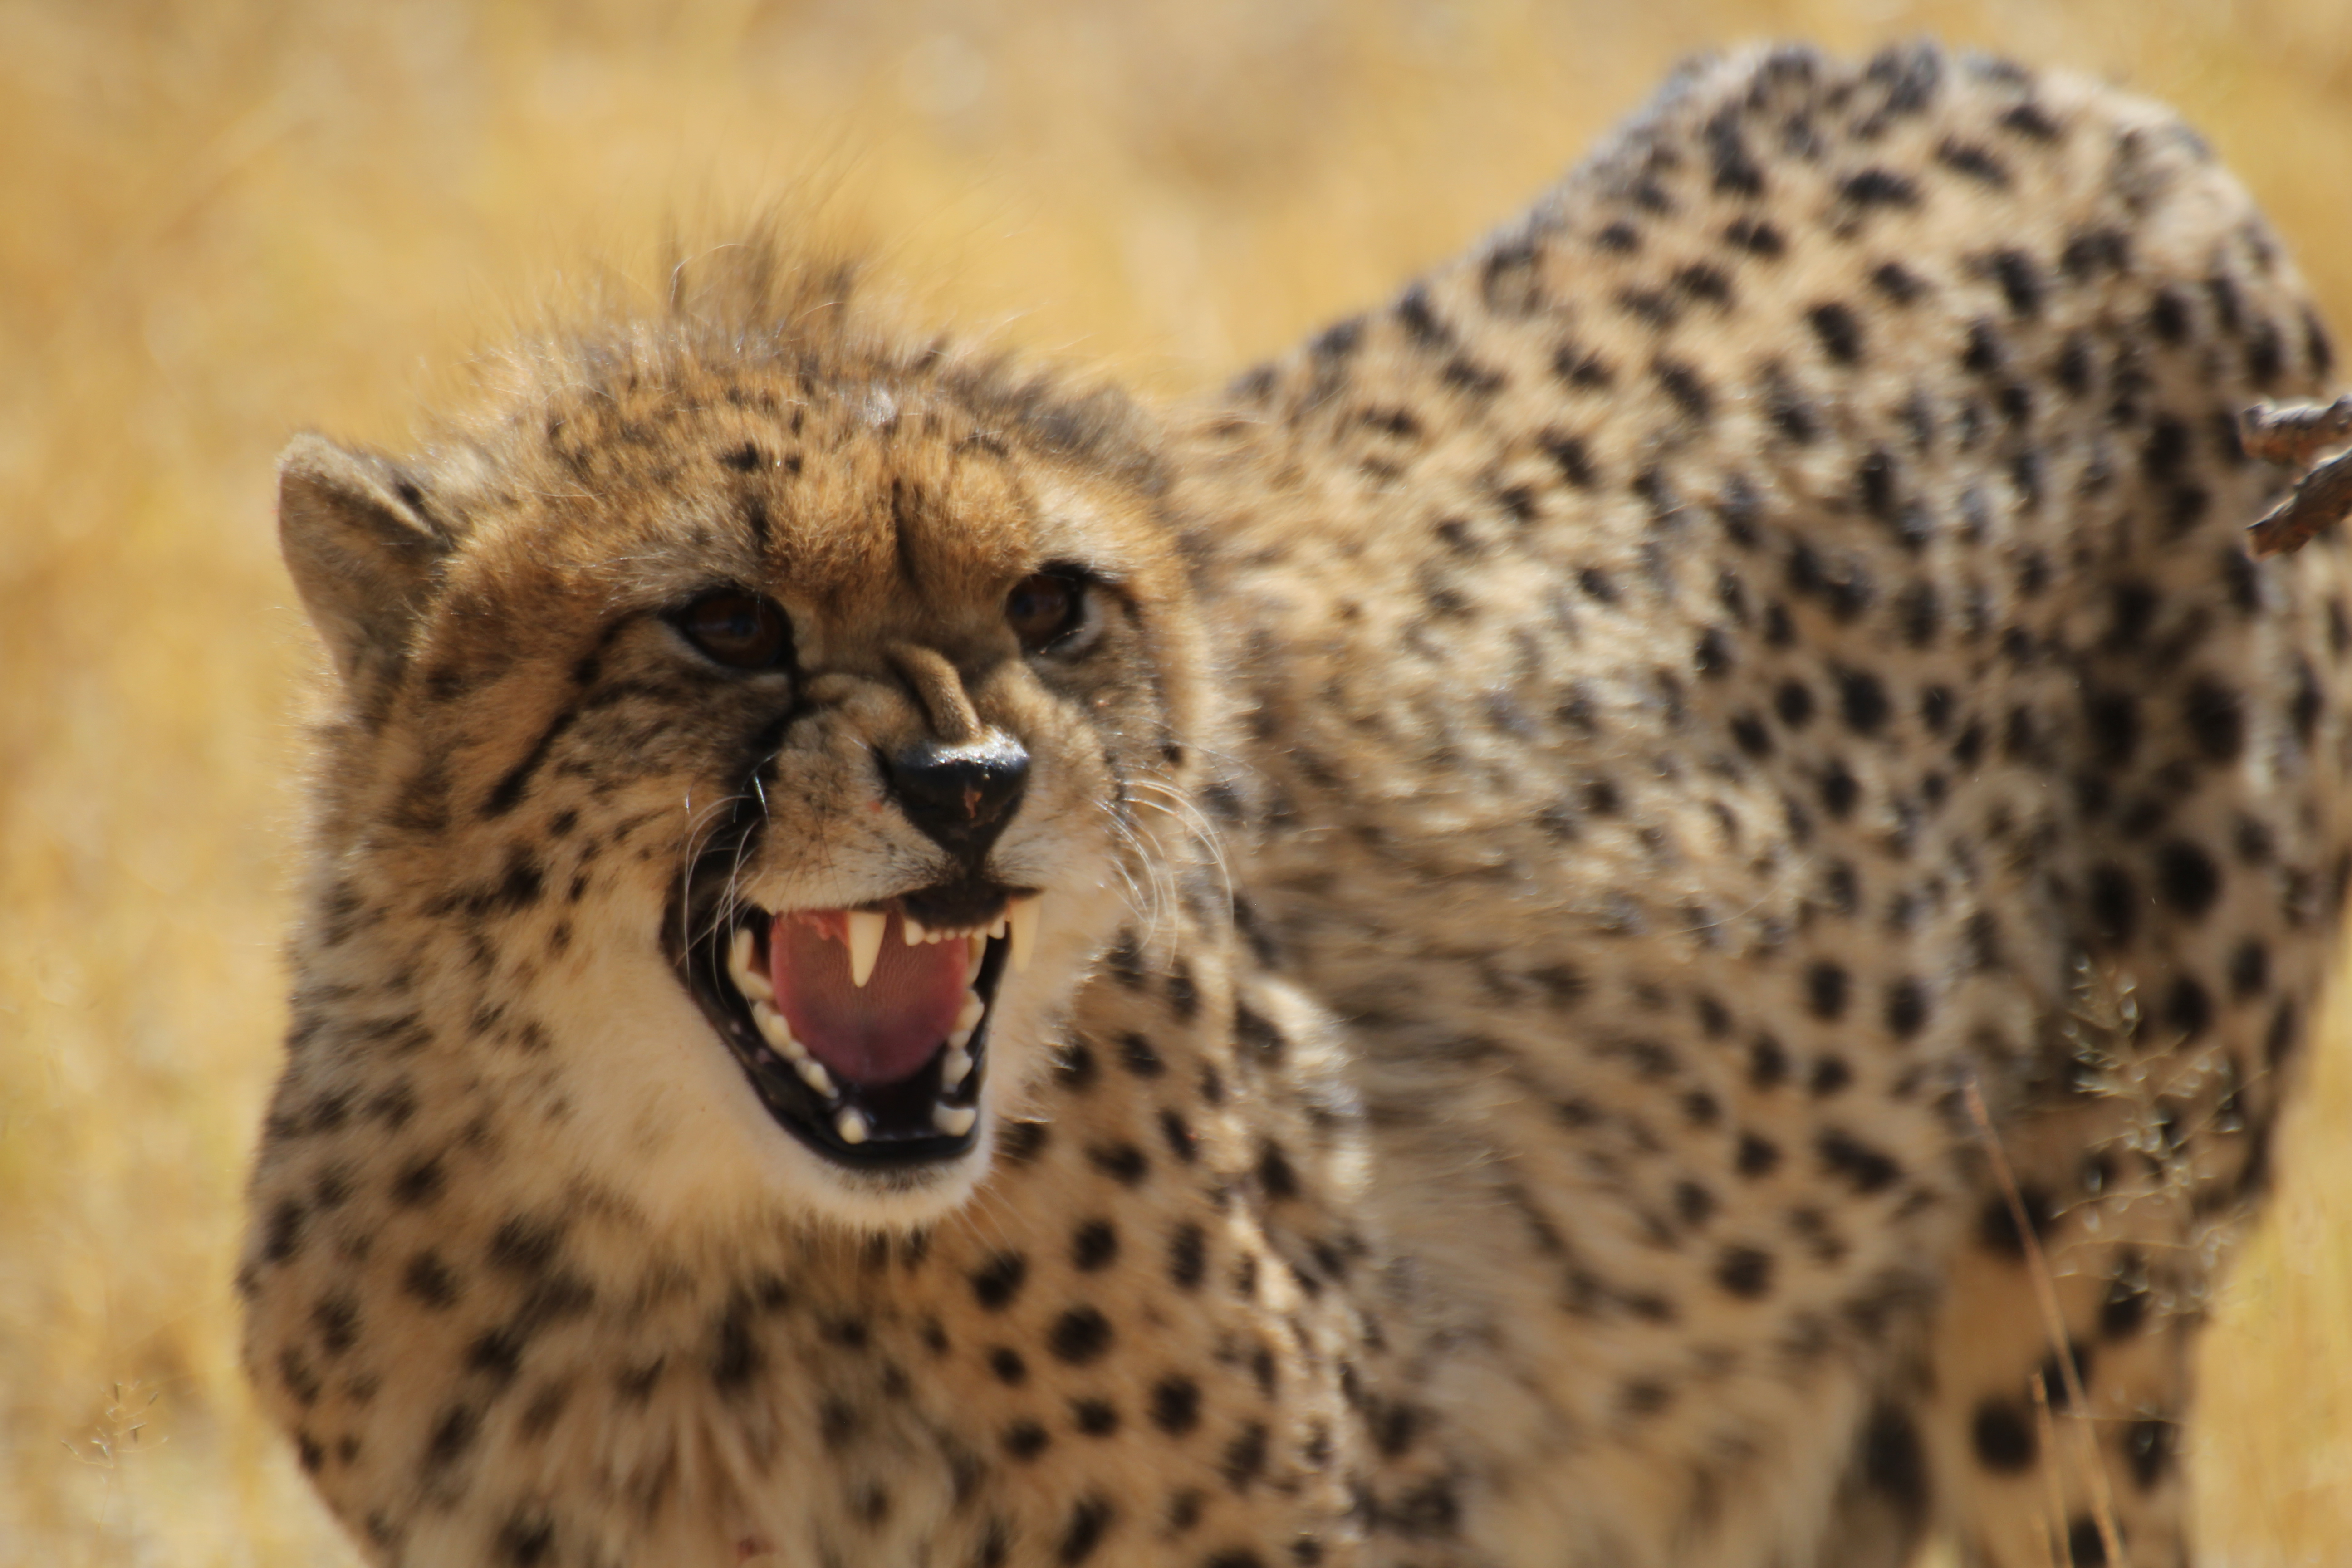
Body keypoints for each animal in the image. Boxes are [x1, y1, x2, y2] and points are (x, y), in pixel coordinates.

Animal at [240, 40, 2352, 1568]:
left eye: (1046, 607)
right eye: (727, 622)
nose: (971, 784)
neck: (693, 1249)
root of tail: (2038, 80)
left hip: (2072, 1290)